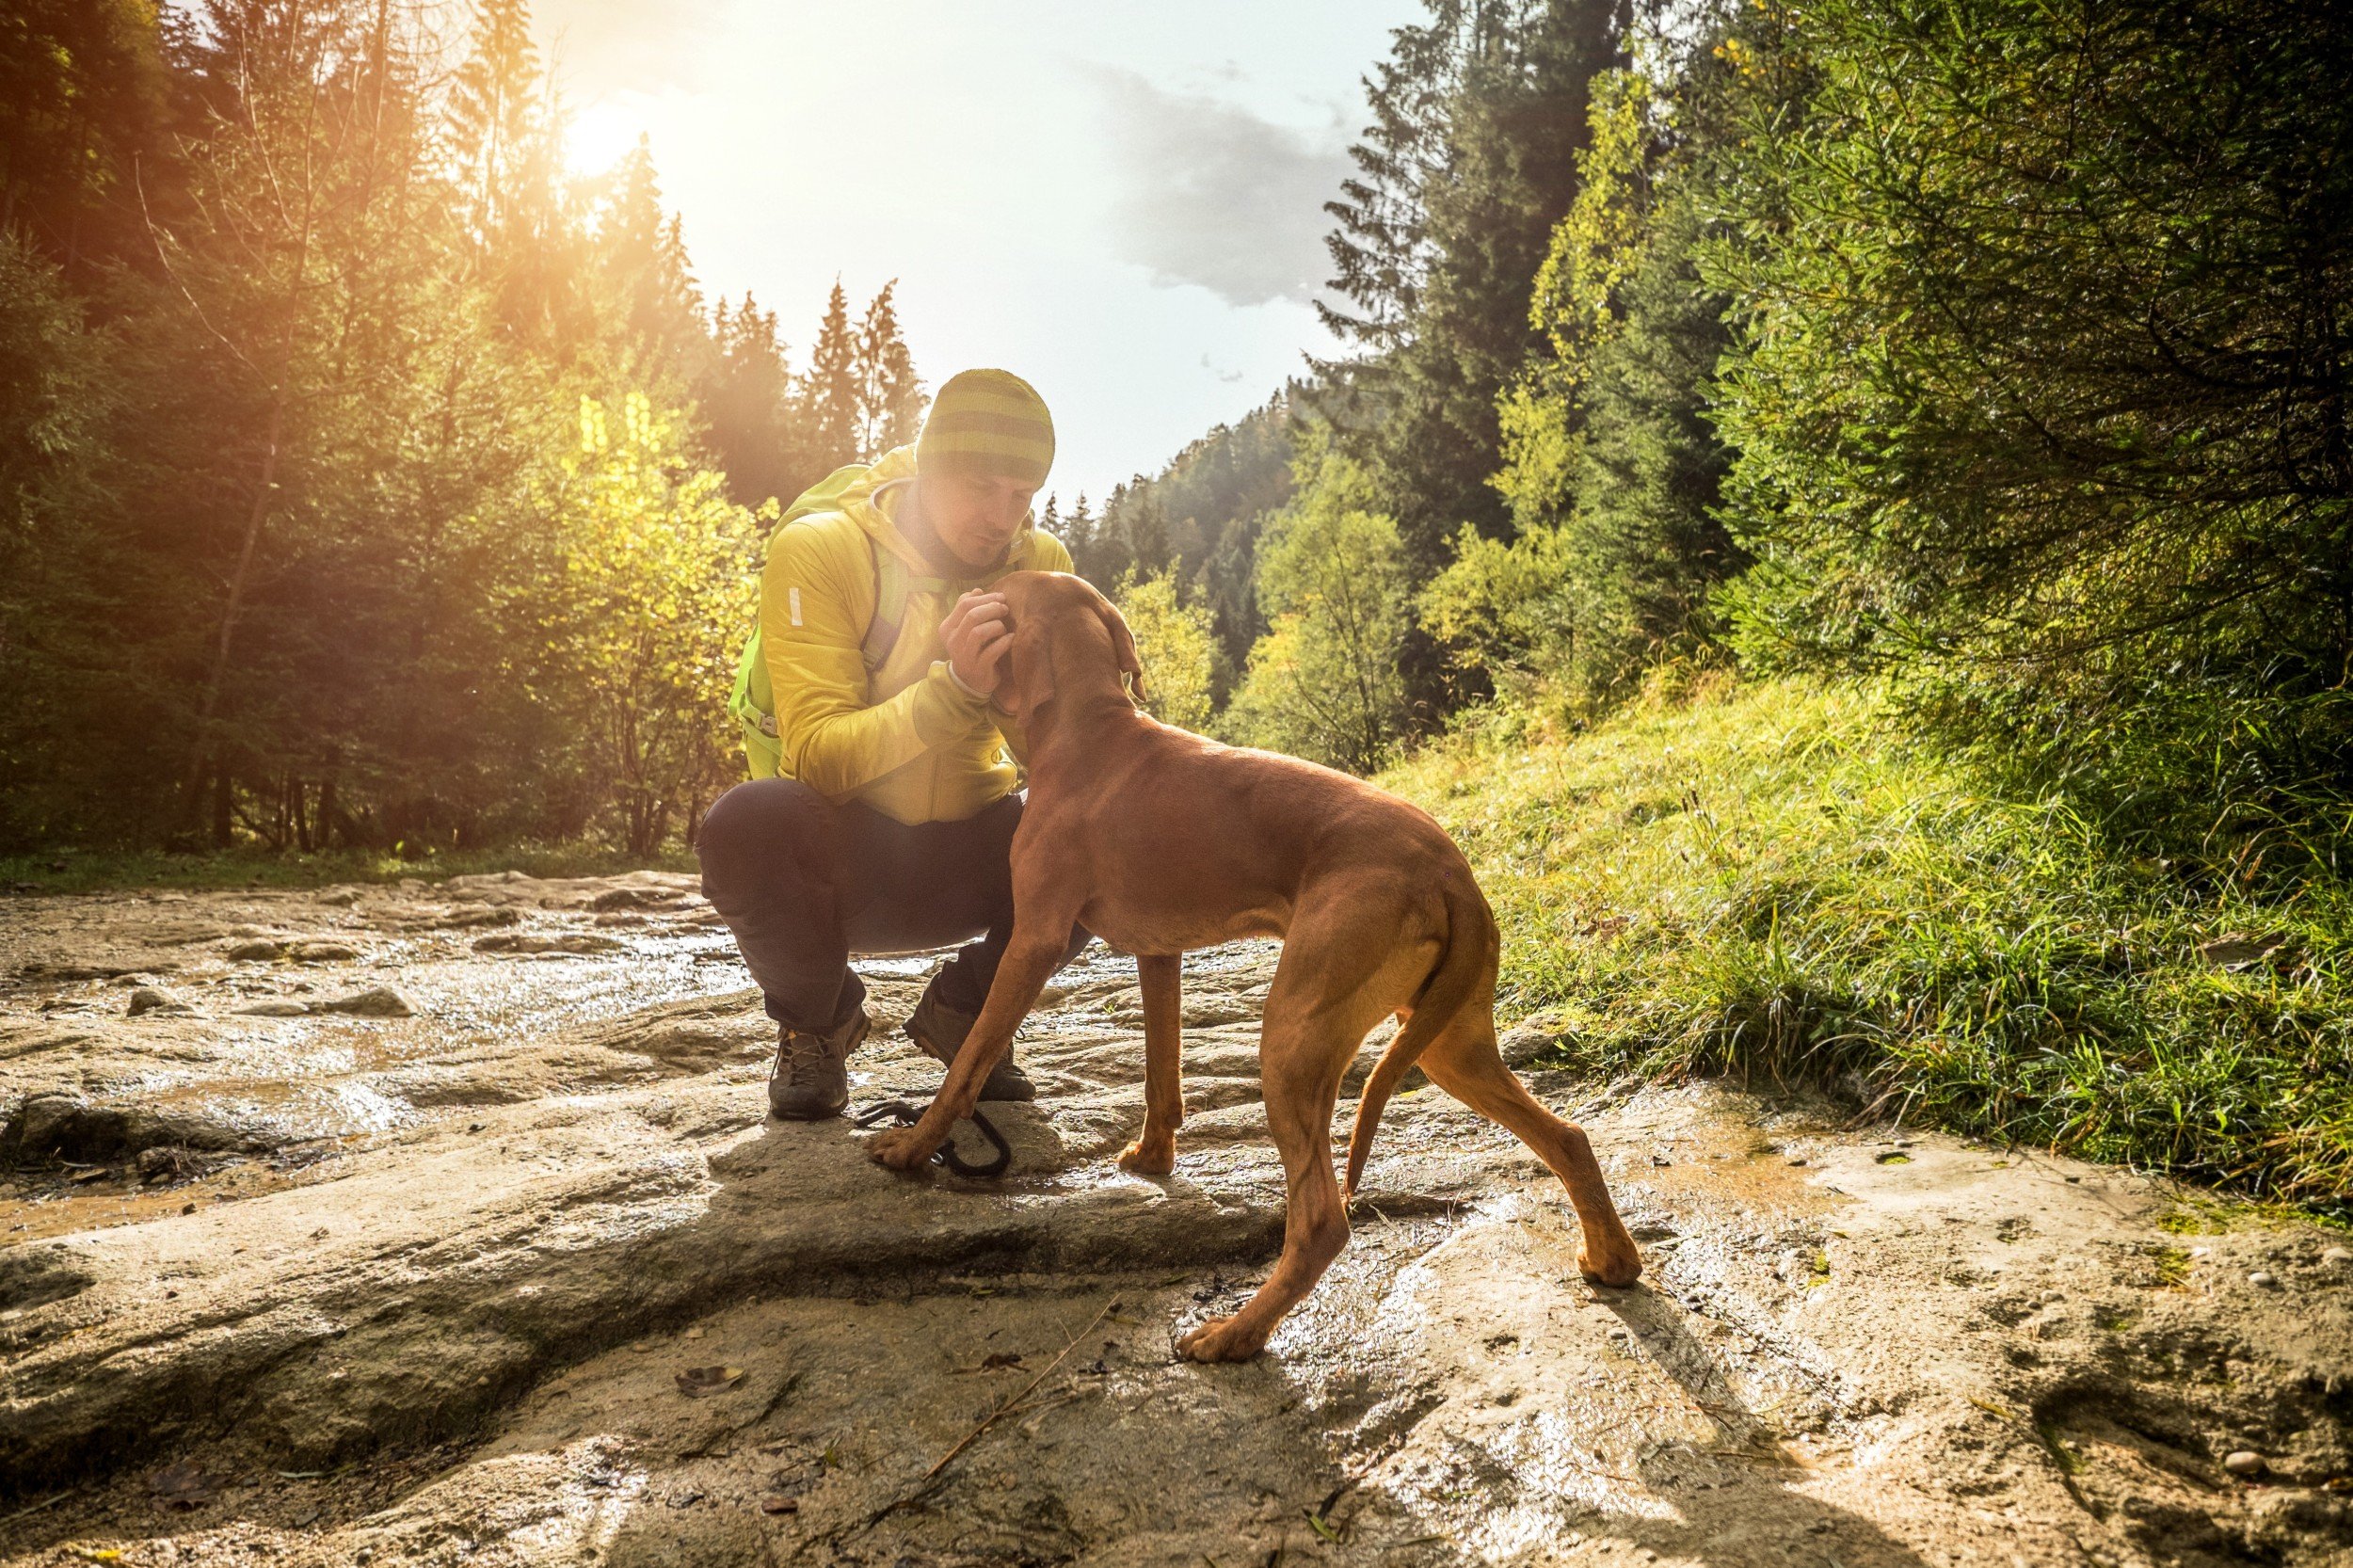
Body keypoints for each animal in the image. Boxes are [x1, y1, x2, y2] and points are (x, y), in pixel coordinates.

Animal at [866, 567, 1638, 1346]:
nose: (957, 593)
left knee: (1324, 1219)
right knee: (1569, 1136)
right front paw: (1153, 1158)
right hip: (1448, 1042)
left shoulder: (1035, 939)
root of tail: (1454, 875)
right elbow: (1162, 1075)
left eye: (997, 589)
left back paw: (1236, 1334)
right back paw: (1611, 1259)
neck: (1087, 734)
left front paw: (911, 1148)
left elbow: (969, 1062)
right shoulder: (1160, 955)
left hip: (1294, 1036)